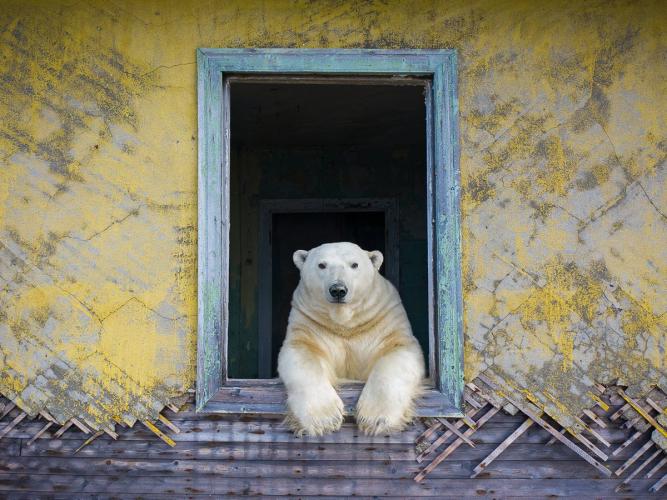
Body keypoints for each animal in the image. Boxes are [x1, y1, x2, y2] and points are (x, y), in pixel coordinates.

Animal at [277, 242, 425, 436]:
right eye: (321, 265)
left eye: (354, 264)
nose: (338, 290)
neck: (345, 324)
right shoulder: (309, 322)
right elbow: (301, 354)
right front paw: (324, 419)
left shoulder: (384, 318)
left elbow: (398, 351)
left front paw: (375, 419)